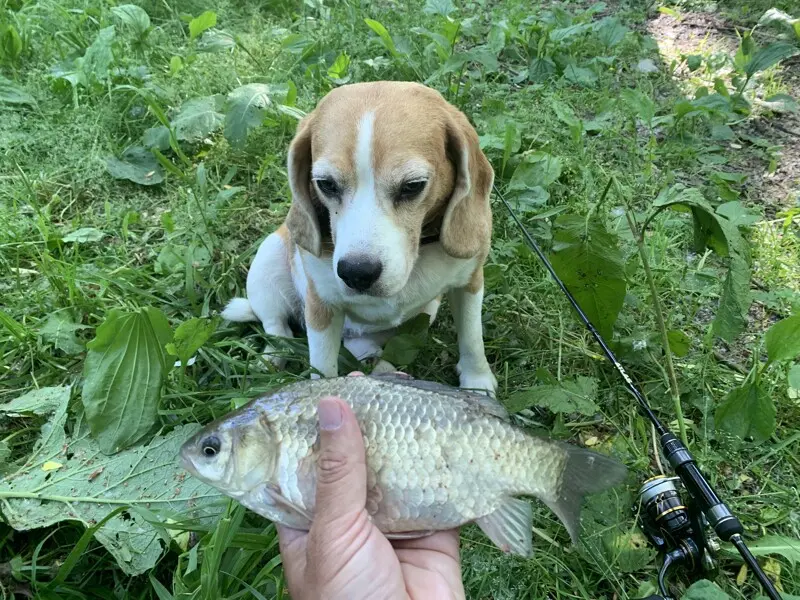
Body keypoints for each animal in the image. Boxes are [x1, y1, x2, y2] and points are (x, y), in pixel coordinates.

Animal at [219, 82, 494, 396]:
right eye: (326, 184)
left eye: (413, 186)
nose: (357, 273)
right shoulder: (321, 306)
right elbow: (321, 368)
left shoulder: (470, 282)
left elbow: (472, 337)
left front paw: (478, 382)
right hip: (268, 257)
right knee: (277, 327)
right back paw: (271, 357)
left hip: (426, 312)